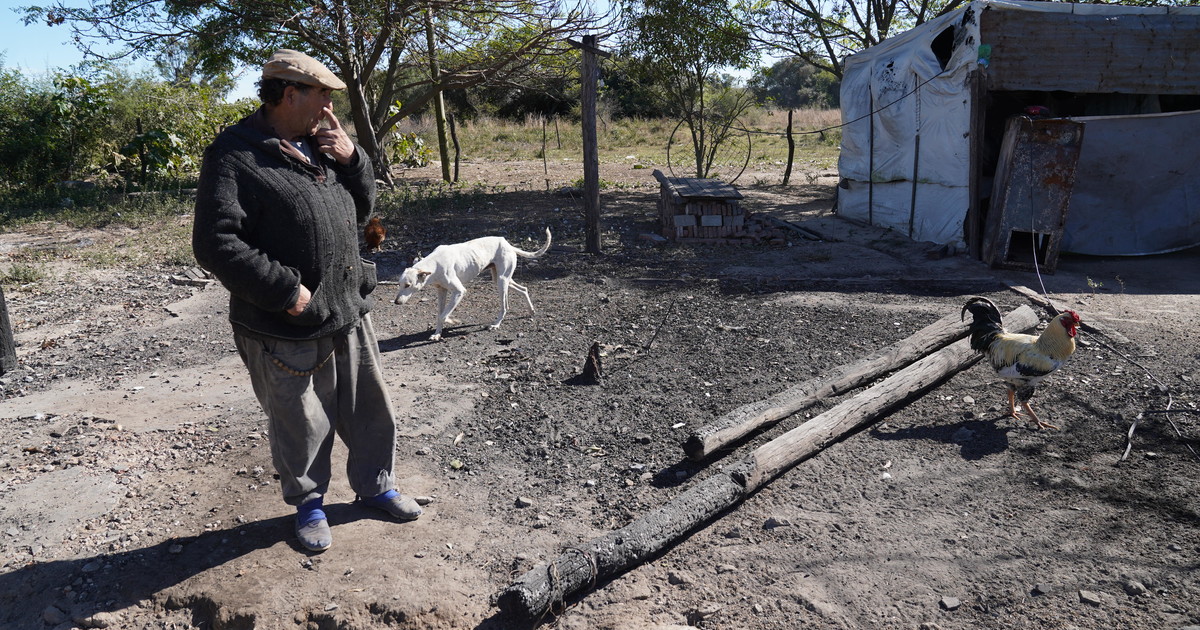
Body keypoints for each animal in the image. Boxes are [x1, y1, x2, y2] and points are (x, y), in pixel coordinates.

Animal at [393, 228, 551, 340]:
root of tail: (508, 244)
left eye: (408, 285)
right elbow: (439, 314)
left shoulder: (459, 292)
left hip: (501, 282)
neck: (434, 264)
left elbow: (443, 315)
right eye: (399, 284)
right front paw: (437, 334)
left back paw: (496, 324)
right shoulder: (442, 291)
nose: (396, 302)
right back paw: (531, 311)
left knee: (505, 306)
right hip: (502, 279)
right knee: (524, 289)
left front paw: (451, 320)